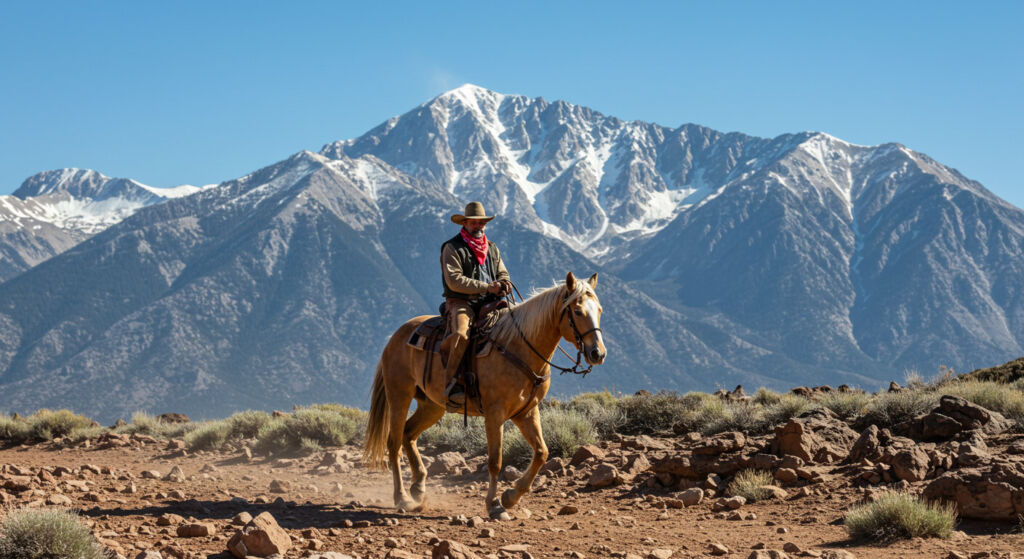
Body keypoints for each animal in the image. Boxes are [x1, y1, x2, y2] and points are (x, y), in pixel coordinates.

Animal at [364, 270, 602, 518]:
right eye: (577, 311)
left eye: (599, 310)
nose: (598, 353)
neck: (518, 348)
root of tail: (395, 337)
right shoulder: (494, 413)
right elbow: (495, 461)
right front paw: (494, 504)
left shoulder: (526, 412)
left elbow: (541, 452)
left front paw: (510, 496)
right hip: (399, 395)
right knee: (393, 444)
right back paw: (402, 498)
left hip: (432, 406)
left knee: (409, 434)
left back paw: (418, 488)